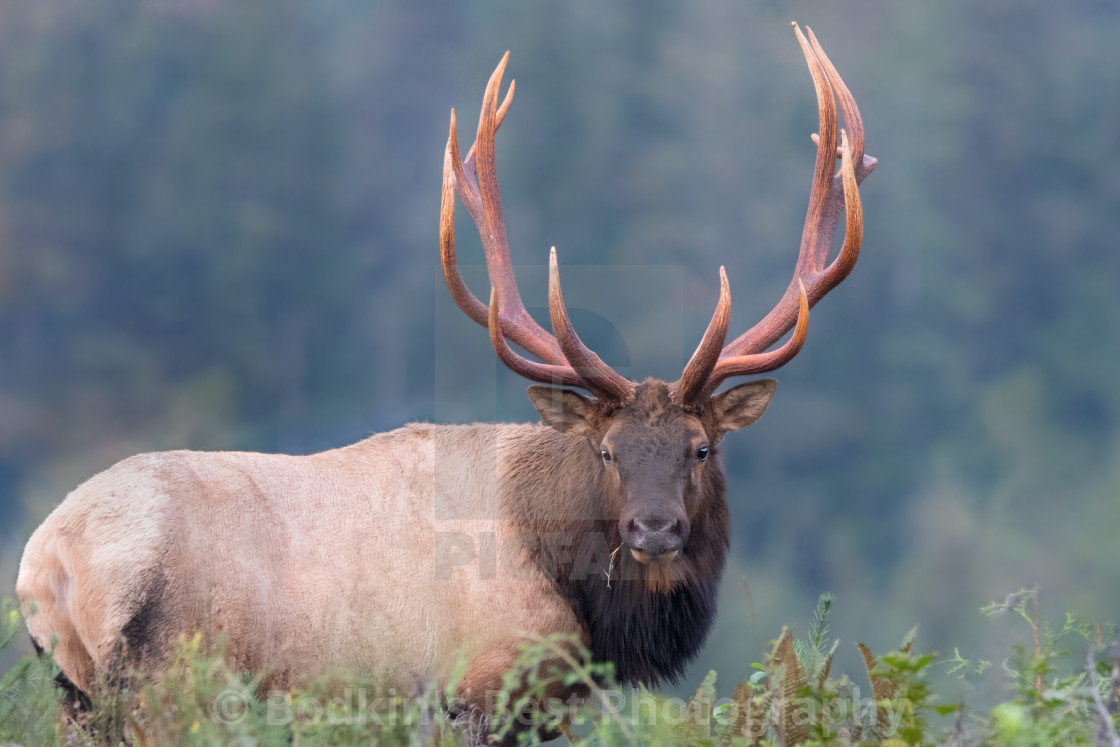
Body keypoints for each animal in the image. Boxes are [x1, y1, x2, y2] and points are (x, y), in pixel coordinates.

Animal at [17, 23, 873, 743]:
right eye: (607, 451)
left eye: (700, 448)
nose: (655, 527)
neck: (581, 602)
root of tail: (46, 561)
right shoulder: (482, 687)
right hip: (165, 684)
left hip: (78, 696)